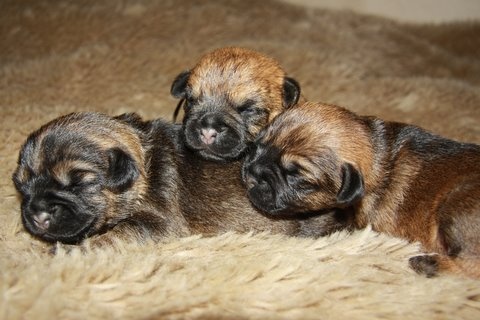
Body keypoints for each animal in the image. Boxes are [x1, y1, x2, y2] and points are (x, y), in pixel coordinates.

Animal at [11, 112, 342, 248]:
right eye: (21, 185)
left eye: (78, 183)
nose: (37, 215)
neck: (144, 167)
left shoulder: (157, 222)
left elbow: (112, 234)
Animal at [244, 102, 480, 278]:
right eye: (258, 146)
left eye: (296, 177)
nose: (251, 170)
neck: (379, 156)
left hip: (454, 205)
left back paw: (429, 264)